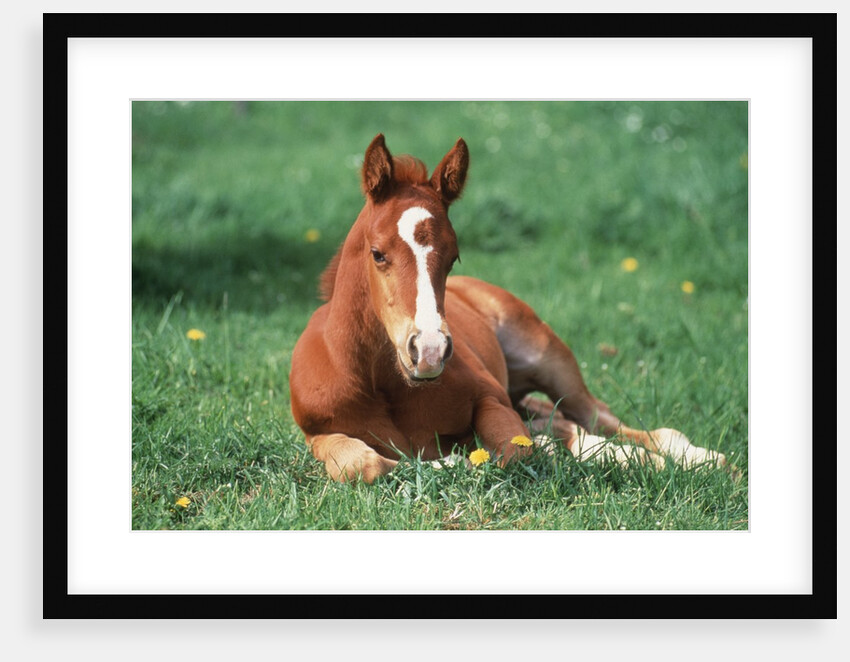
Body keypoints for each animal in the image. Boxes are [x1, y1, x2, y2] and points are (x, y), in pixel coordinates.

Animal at [289, 134, 727, 483]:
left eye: (453, 257)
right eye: (378, 254)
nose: (429, 351)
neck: (385, 384)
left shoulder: (492, 397)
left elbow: (511, 449)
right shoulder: (318, 433)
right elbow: (361, 465)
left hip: (548, 358)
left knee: (602, 419)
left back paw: (702, 459)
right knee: (562, 422)